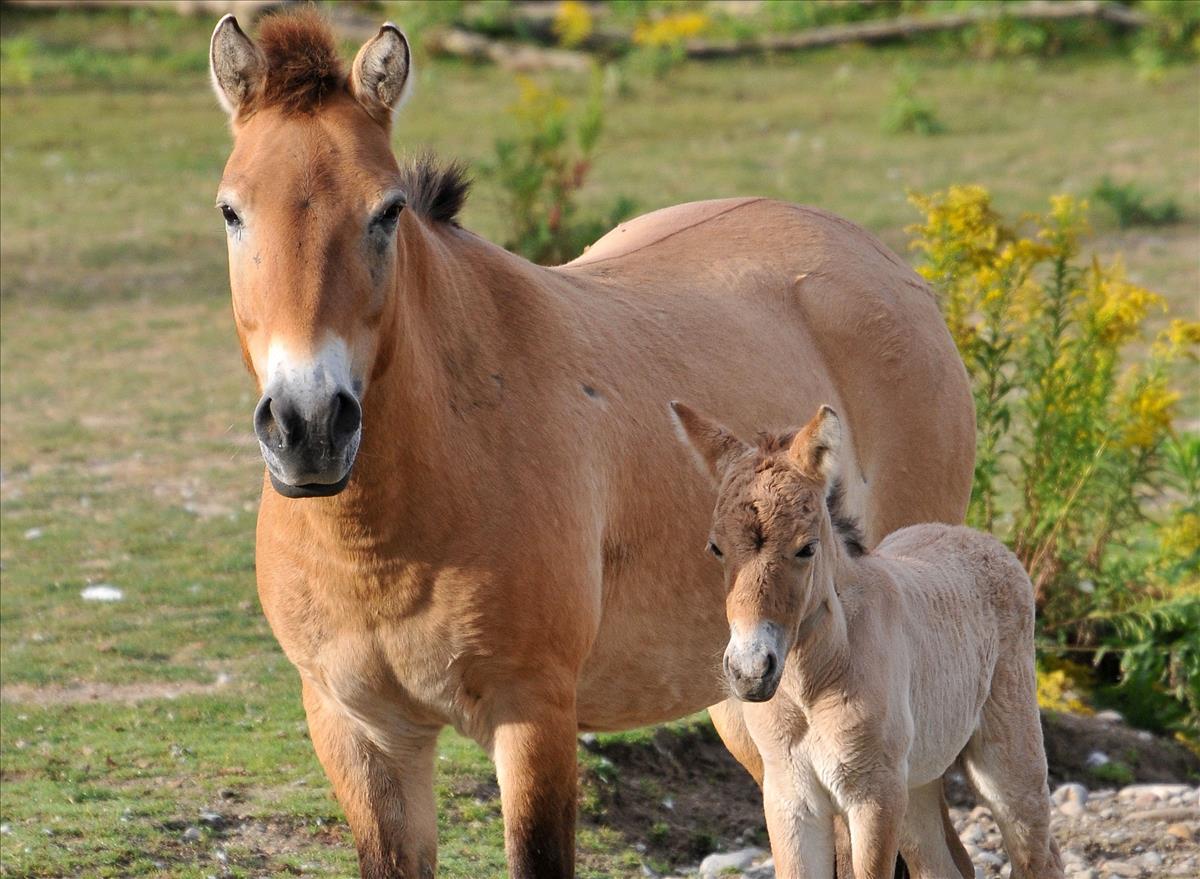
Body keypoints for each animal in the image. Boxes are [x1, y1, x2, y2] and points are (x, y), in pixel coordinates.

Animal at [206, 8, 974, 879]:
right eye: (232, 210)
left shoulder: (534, 716)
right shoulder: (361, 734)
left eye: (388, 210)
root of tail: (894, 272)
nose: (308, 427)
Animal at [672, 403, 1065, 879]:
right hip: (917, 784)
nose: (750, 671)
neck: (812, 684)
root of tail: (981, 539)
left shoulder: (872, 798)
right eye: (716, 548)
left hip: (1005, 763)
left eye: (806, 548)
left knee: (1037, 853)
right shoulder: (790, 800)